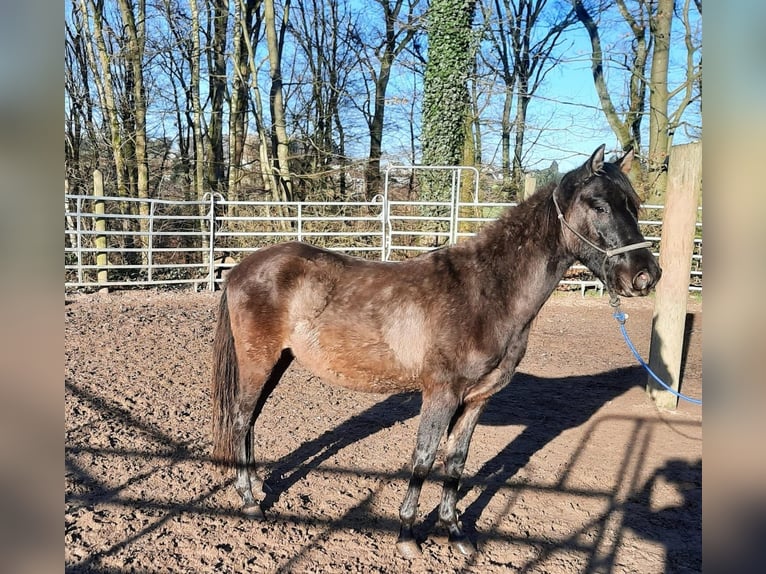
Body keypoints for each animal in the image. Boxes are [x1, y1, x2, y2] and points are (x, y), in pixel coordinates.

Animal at [210, 144, 660, 560]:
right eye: (598, 205)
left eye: (634, 206)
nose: (645, 276)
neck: (485, 291)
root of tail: (239, 269)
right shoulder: (441, 394)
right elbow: (424, 458)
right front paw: (408, 535)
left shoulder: (477, 399)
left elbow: (456, 463)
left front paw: (455, 532)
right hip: (259, 362)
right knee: (240, 419)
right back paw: (249, 501)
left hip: (277, 362)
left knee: (250, 422)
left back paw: (257, 487)